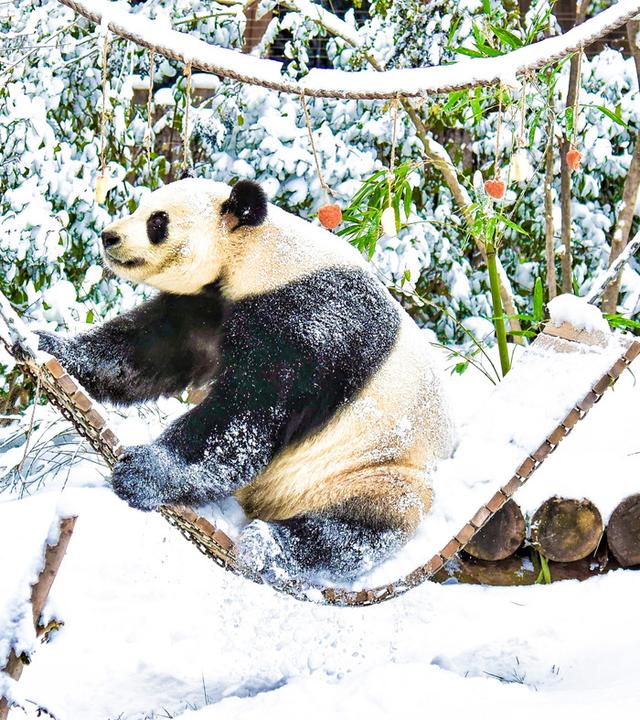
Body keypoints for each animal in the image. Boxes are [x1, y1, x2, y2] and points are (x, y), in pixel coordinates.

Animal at [36, 179, 456, 580]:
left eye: (158, 221)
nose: (109, 237)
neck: (257, 253)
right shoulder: (209, 303)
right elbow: (150, 350)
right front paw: (52, 347)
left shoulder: (311, 323)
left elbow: (245, 419)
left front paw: (145, 472)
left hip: (374, 469)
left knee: (357, 527)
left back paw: (272, 545)